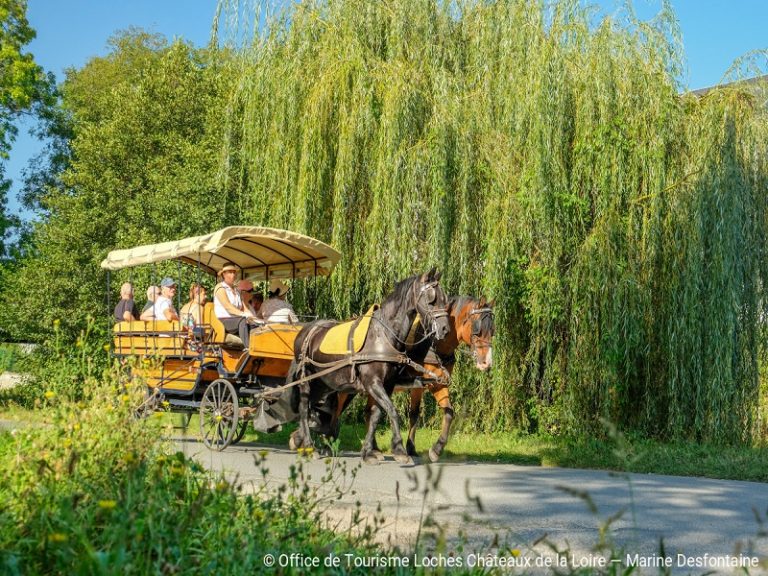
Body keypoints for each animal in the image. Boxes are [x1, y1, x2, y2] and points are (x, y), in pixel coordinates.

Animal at [286, 268, 450, 464]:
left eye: (445, 299)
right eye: (431, 298)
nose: (445, 329)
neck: (383, 335)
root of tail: (305, 331)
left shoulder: (387, 385)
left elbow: (375, 416)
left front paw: (367, 452)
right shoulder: (373, 383)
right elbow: (392, 411)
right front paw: (399, 450)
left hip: (324, 384)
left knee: (311, 406)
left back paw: (302, 442)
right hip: (306, 380)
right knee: (304, 407)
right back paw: (310, 446)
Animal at [334, 296, 492, 464]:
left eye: (493, 331)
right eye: (478, 329)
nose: (486, 363)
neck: (434, 344)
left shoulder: (435, 384)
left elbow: (442, 412)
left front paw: (432, 449)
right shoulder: (424, 384)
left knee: (368, 412)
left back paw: (374, 449)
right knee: (338, 409)